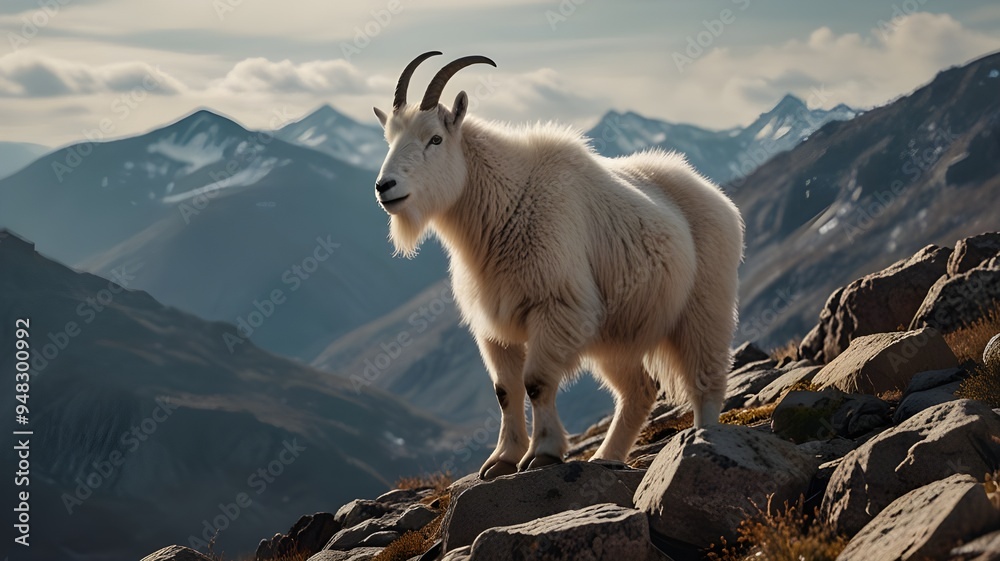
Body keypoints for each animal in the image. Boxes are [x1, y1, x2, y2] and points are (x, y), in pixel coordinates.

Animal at [372, 52, 744, 479]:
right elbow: (506, 391)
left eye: (435, 138)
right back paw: (606, 457)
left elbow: (536, 383)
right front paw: (502, 459)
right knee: (639, 390)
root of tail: (720, 198)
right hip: (618, 335)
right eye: (389, 139)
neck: (505, 203)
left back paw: (702, 439)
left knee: (706, 380)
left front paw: (543, 452)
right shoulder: (495, 326)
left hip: (705, 308)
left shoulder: (556, 307)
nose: (385, 187)